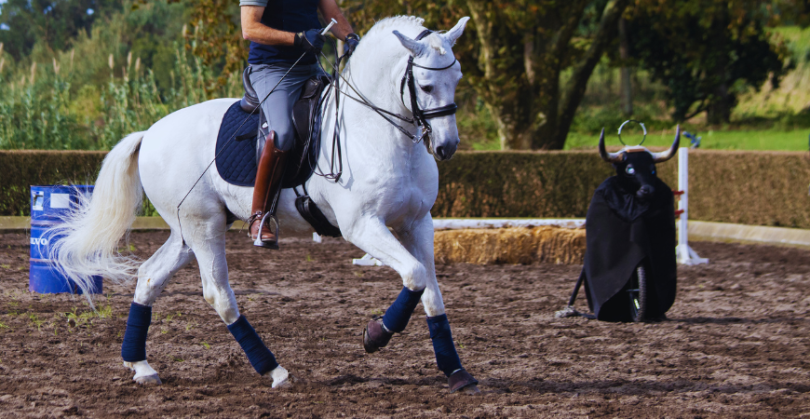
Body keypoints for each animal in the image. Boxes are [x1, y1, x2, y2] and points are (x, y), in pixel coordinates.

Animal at [51, 16, 480, 394]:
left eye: (457, 79)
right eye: (425, 85)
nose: (447, 146)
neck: (377, 129)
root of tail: (150, 132)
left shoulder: (417, 223)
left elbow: (430, 290)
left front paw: (456, 372)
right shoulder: (362, 226)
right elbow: (415, 275)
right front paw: (375, 335)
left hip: (187, 230)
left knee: (149, 277)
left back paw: (140, 366)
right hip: (203, 227)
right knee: (218, 294)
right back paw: (274, 371)